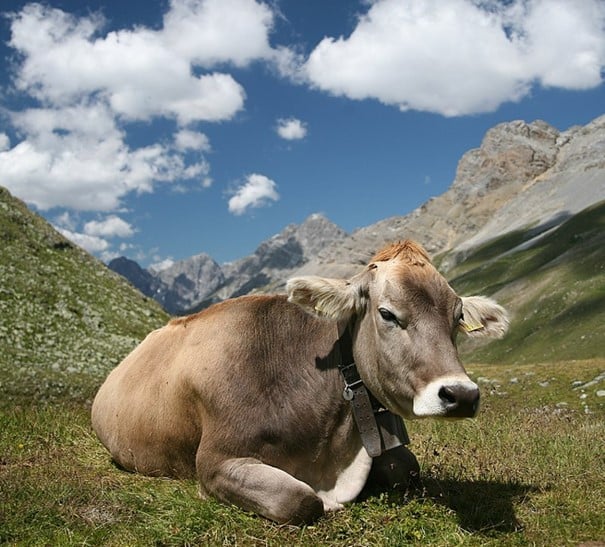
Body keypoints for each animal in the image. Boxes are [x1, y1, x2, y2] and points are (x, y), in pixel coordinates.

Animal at [92, 242, 508, 524]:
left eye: (457, 318)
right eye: (387, 314)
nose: (461, 395)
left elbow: (407, 468)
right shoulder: (215, 462)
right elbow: (301, 501)